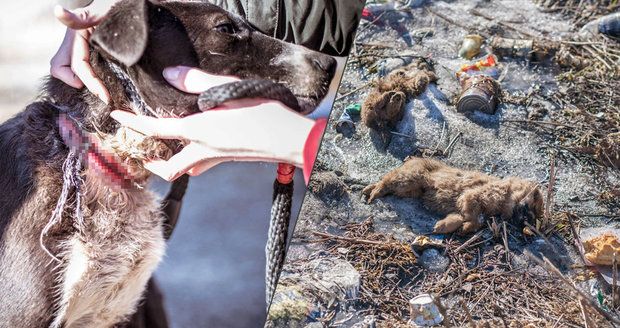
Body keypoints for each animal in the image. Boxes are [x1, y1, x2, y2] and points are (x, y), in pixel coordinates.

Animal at [360, 158, 544, 234]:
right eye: (533, 205)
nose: (528, 224)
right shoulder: (472, 196)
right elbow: (475, 219)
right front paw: (464, 228)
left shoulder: (463, 205)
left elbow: (462, 218)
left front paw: (444, 227)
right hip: (410, 179)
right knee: (386, 180)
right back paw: (372, 194)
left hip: (410, 190)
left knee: (386, 181)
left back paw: (367, 190)